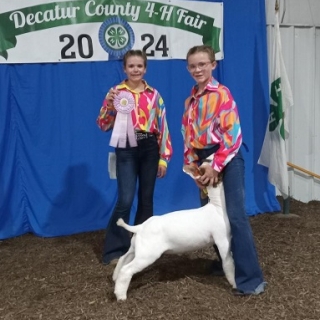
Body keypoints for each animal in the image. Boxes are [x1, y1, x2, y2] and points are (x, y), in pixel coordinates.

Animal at [112, 156, 235, 302]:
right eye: (210, 163)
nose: (209, 157)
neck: (217, 206)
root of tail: (141, 227)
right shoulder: (223, 240)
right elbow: (228, 263)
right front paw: (234, 283)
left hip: (136, 249)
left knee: (123, 258)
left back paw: (114, 278)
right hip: (147, 255)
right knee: (126, 270)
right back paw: (120, 295)